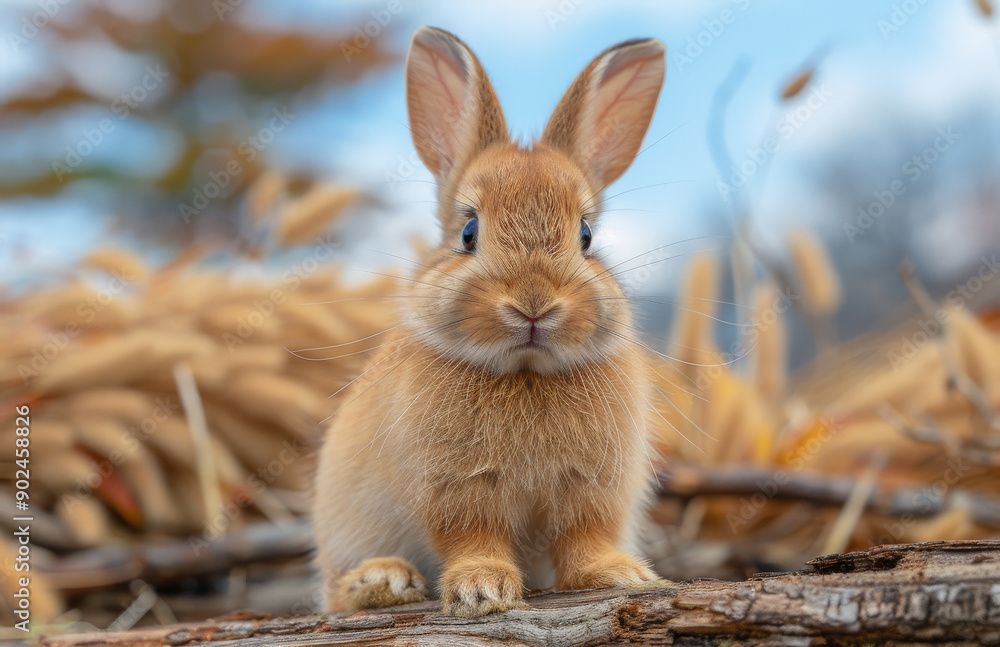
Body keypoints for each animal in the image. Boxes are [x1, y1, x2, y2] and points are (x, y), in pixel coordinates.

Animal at [312, 25, 666, 618]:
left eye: (586, 235)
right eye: (469, 232)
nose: (533, 302)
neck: (525, 371)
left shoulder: (593, 489)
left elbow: (584, 538)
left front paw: (621, 576)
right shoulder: (457, 490)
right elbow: (473, 538)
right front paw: (482, 591)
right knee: (336, 593)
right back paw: (382, 581)